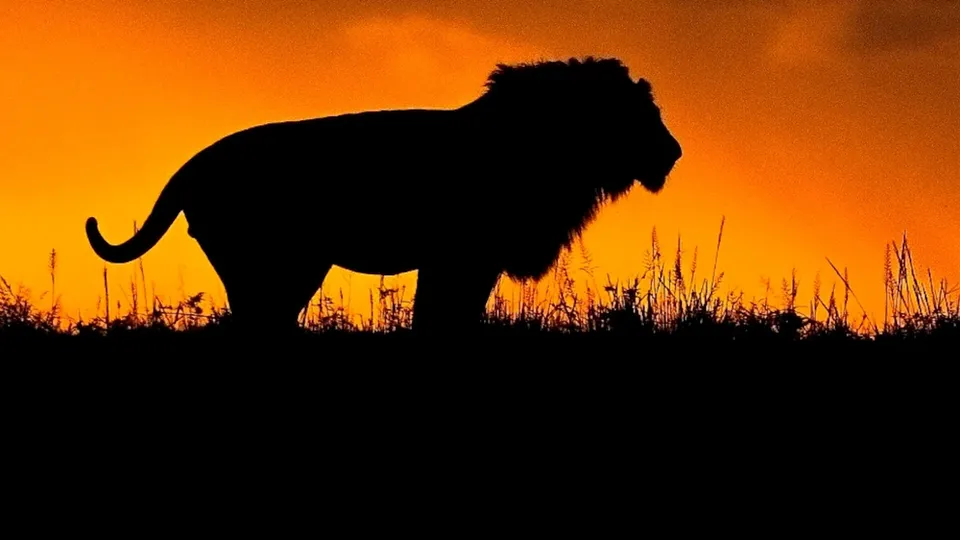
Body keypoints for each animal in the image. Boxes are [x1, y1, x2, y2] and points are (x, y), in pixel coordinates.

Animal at [84, 54, 684, 334]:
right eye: (639, 112)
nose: (673, 152)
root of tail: (194, 166)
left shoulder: (464, 261)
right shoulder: (461, 258)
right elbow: (441, 315)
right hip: (275, 267)